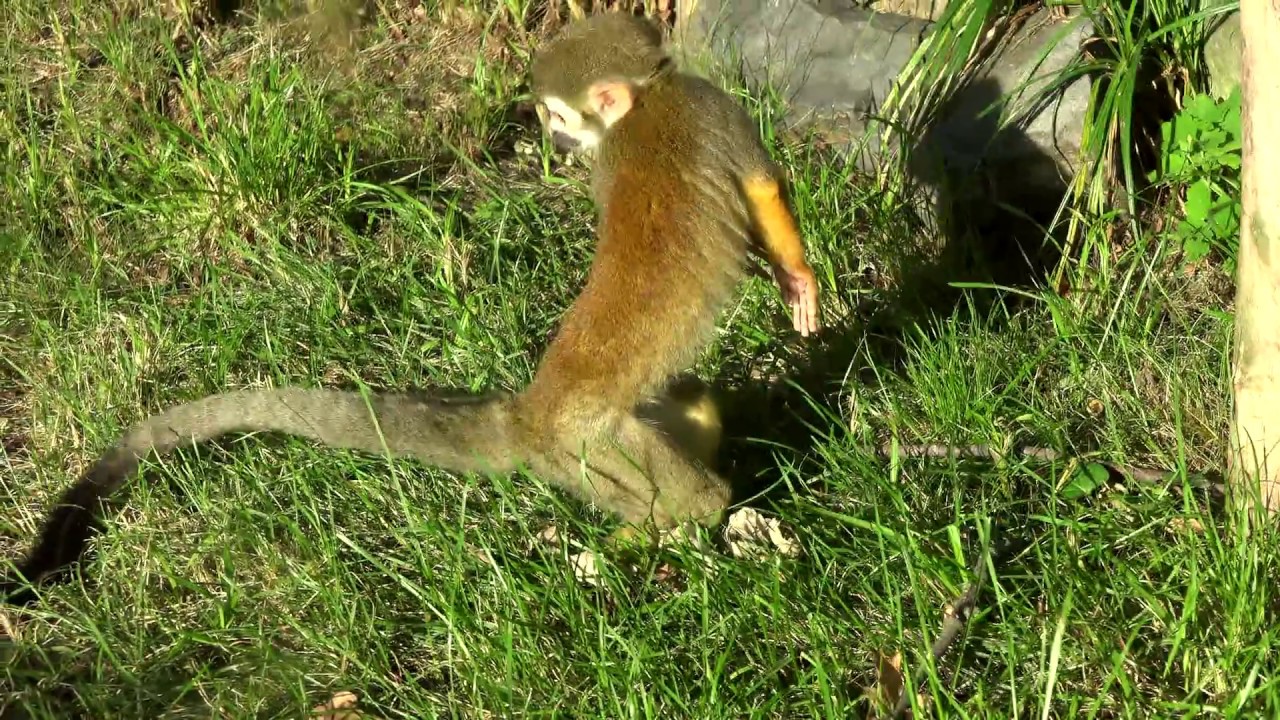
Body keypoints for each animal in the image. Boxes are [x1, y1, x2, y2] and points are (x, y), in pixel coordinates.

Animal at [1, 13, 819, 604]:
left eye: (560, 118)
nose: (556, 142)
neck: (647, 100)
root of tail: (526, 413)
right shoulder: (710, 108)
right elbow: (764, 187)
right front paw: (801, 279)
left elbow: (762, 192)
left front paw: (796, 284)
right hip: (592, 447)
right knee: (697, 500)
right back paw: (656, 536)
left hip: (608, 440)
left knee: (696, 410)